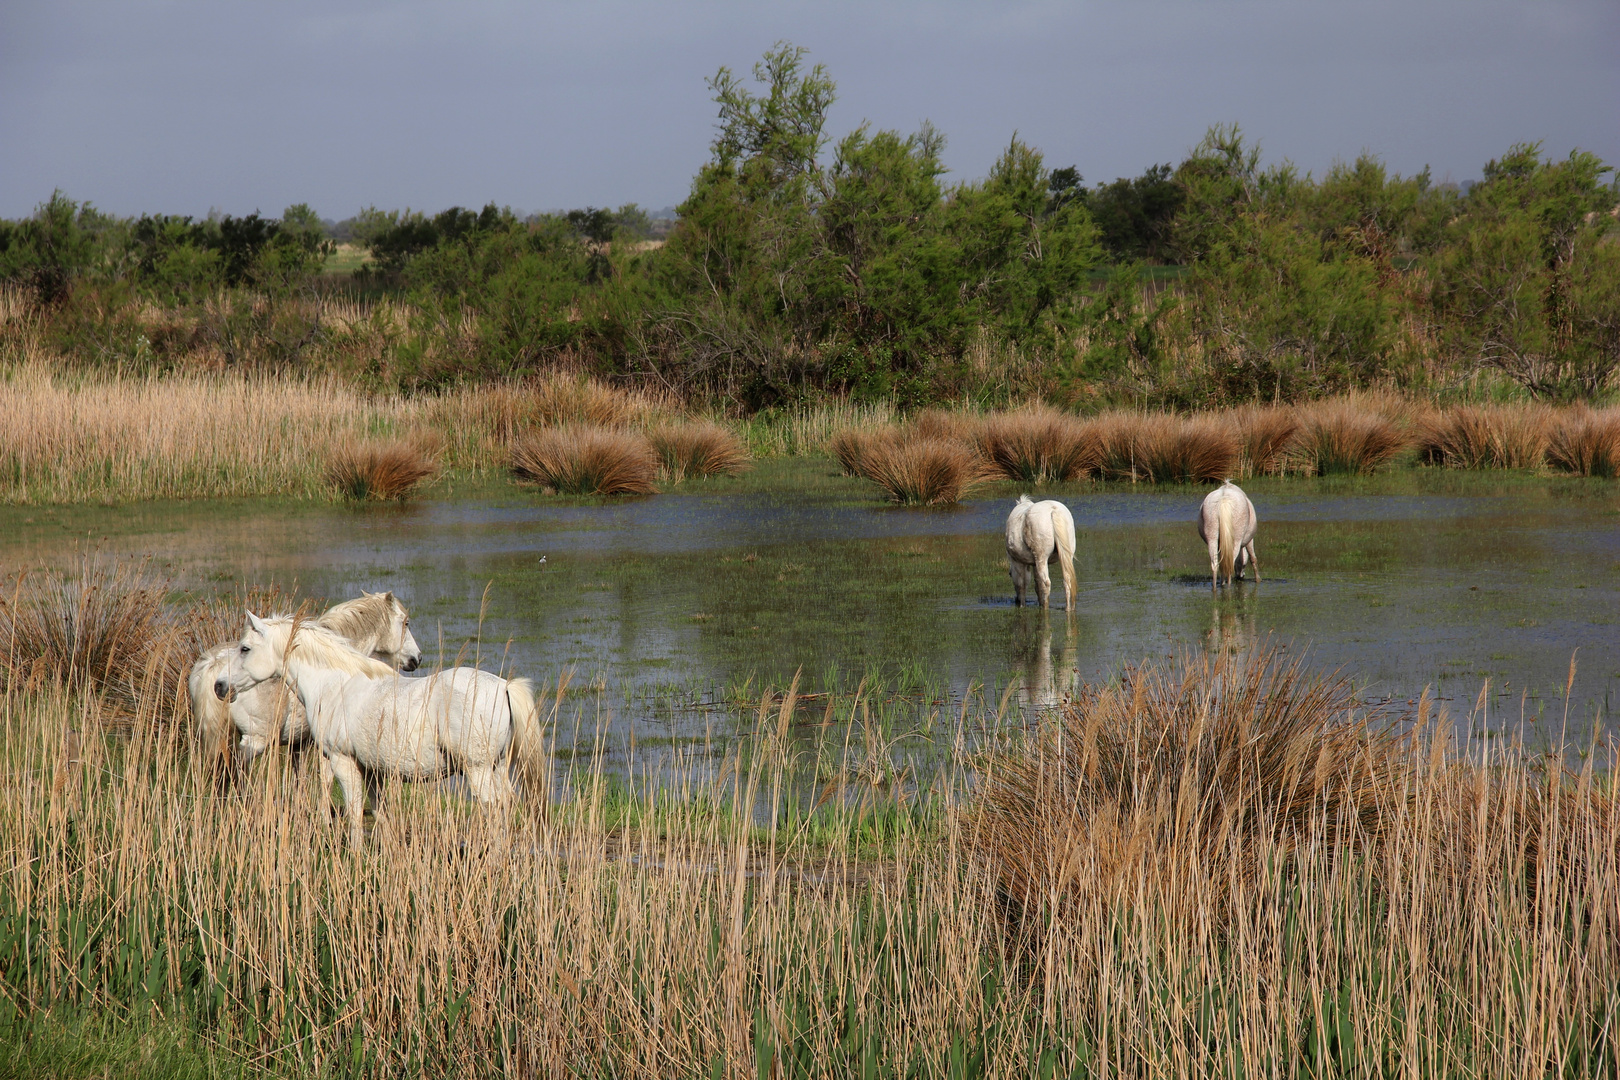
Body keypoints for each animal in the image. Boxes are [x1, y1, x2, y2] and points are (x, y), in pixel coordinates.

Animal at [215, 612, 547, 848]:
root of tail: (503, 686)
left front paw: (356, 855)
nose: (219, 686)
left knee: (494, 807)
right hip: (497, 766)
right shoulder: (373, 769)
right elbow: (379, 811)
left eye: (245, 648)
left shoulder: (343, 761)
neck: (335, 683)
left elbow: (354, 810)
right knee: (507, 805)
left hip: (478, 770)